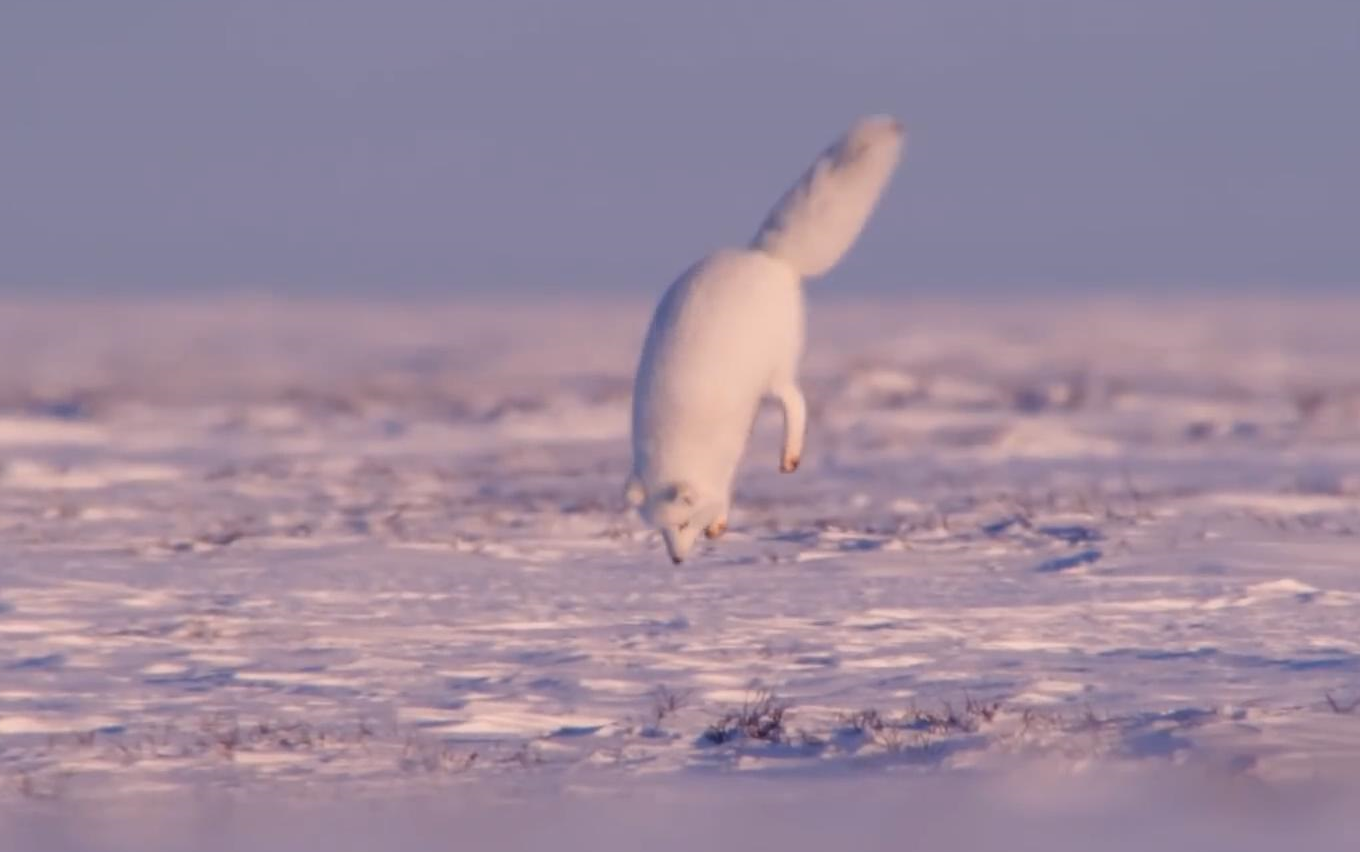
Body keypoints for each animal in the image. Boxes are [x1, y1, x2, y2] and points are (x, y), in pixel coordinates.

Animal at [622, 114, 903, 563]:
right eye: (661, 531)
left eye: (683, 524)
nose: (677, 561)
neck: (675, 440)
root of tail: (763, 253)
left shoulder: (725, 454)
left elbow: (724, 489)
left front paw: (719, 523)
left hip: (775, 368)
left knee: (796, 400)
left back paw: (790, 457)